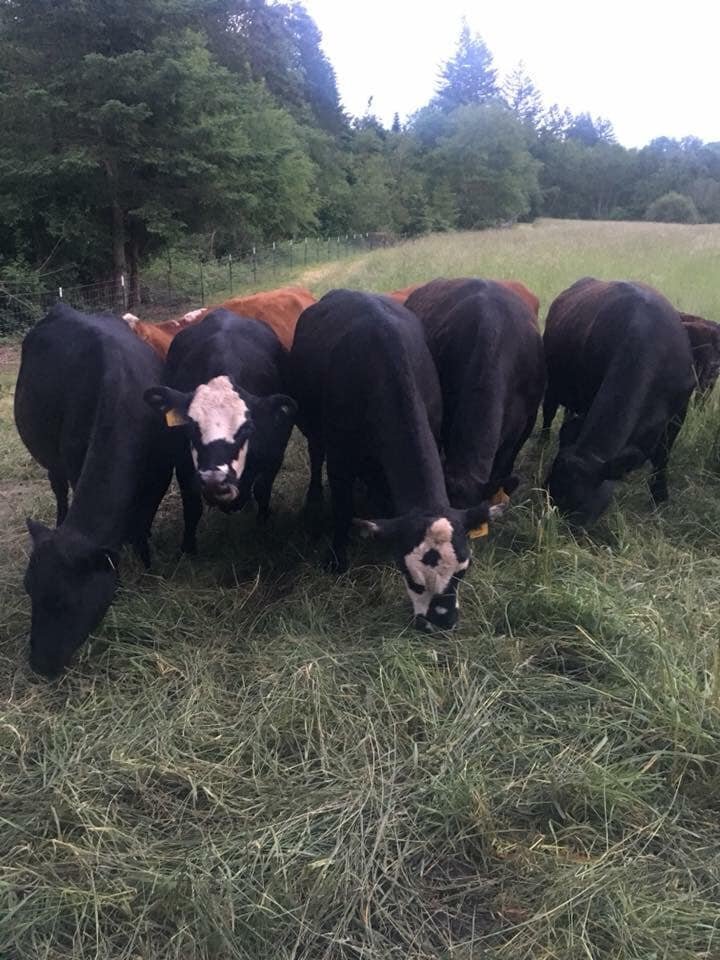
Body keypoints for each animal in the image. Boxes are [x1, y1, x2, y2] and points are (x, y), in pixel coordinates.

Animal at [14, 304, 174, 677]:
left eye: (64, 602)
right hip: (53, 461)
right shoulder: (74, 462)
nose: (39, 665)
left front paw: (147, 564)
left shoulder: (160, 474)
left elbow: (142, 525)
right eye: (29, 591)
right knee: (59, 492)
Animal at [143, 309, 297, 554]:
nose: (214, 480)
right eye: (190, 426)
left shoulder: (275, 452)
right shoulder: (182, 461)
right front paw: (188, 548)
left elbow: (262, 489)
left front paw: (263, 526)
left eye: (248, 428)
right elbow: (192, 505)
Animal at [288, 290, 505, 632]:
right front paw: (337, 557)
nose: (441, 622)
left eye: (462, 572)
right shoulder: (339, 456)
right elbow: (342, 507)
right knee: (315, 453)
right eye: (412, 578)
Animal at [541, 278, 695, 525]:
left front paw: (659, 495)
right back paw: (543, 440)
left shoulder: (679, 410)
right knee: (548, 411)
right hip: (554, 383)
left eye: (580, 507)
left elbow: (663, 454)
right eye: (547, 489)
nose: (553, 528)